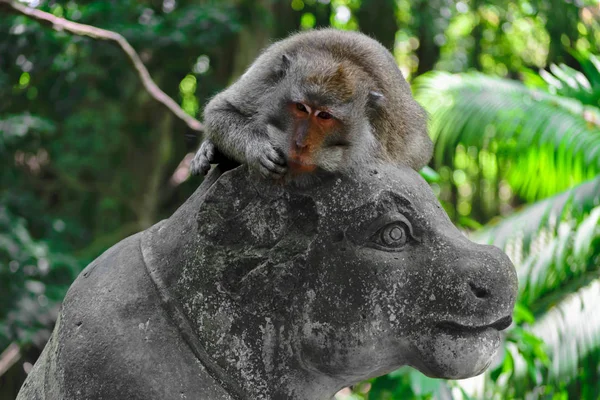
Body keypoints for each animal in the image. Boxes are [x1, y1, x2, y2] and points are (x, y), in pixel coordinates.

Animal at [191, 28, 432, 183]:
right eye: (301, 108)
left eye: (324, 116)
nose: (300, 144)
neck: (339, 59)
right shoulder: (266, 75)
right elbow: (220, 110)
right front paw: (257, 149)